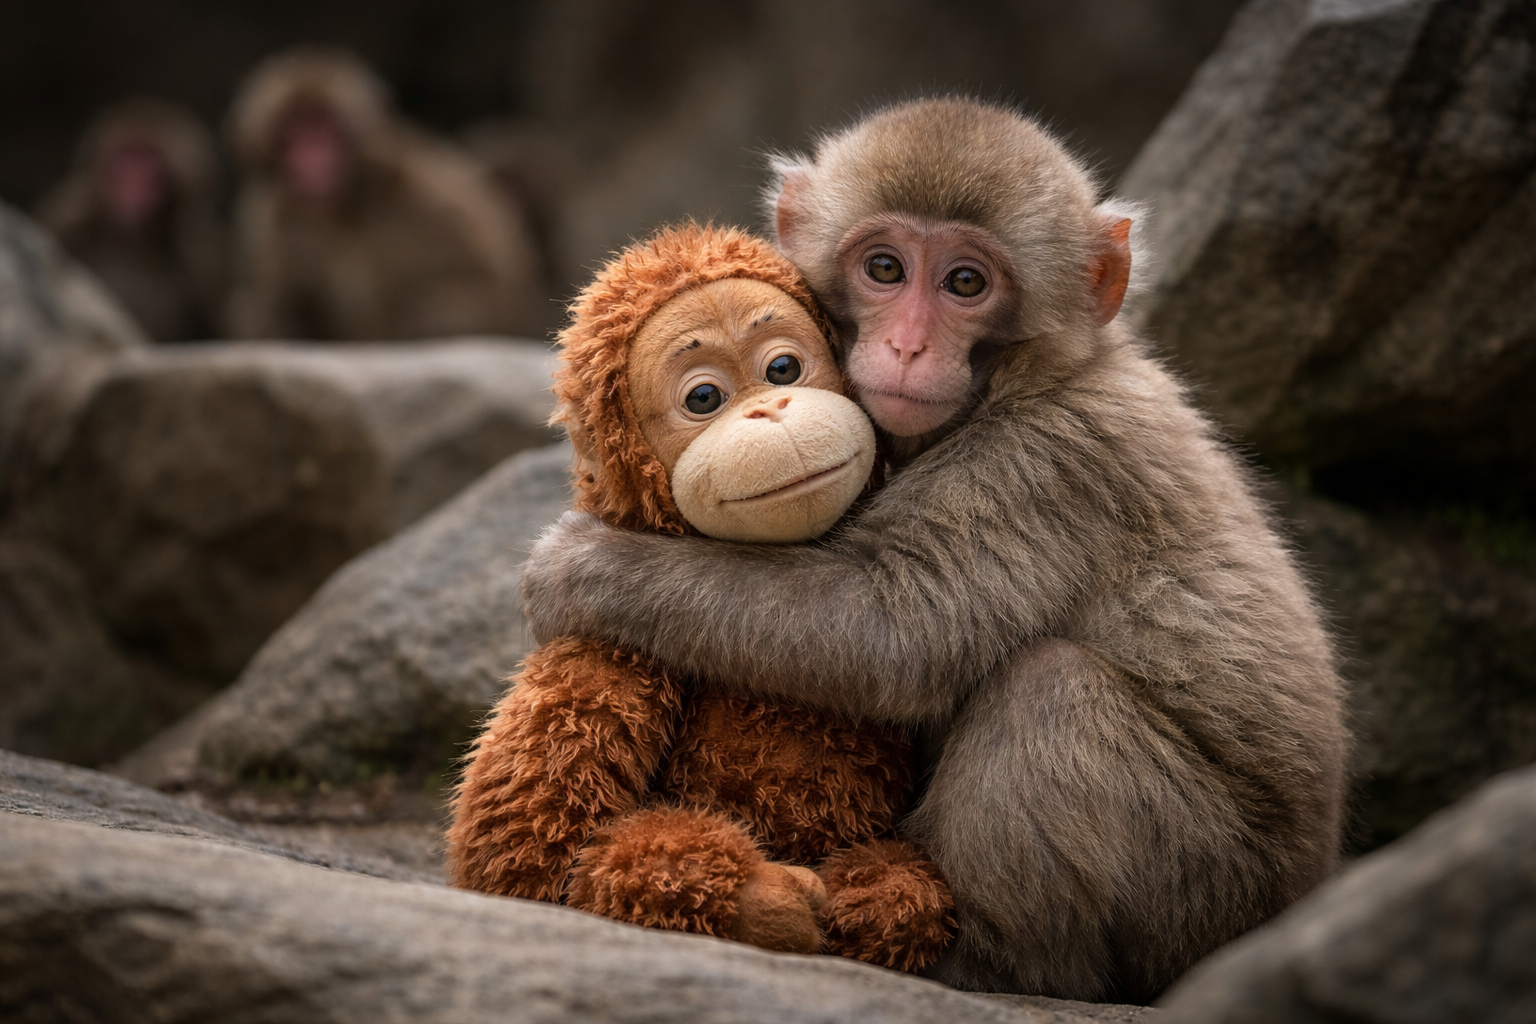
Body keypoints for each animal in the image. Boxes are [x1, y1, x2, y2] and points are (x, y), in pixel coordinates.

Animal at [37, 98, 227, 342]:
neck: (130, 242)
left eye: (151, 162)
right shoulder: (64, 221)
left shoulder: (204, 261)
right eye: (126, 158)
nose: (132, 184)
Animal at [224, 48, 543, 342]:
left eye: (328, 127)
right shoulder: (275, 219)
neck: (344, 207)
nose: (311, 151)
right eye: (293, 128)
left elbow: (474, 287)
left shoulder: (428, 200)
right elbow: (276, 308)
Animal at [516, 98, 1350, 1003]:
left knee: (1048, 693)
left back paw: (987, 963)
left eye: (965, 284)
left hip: (1206, 885)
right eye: (884, 267)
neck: (1015, 384)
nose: (910, 347)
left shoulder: (1047, 464)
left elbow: (896, 631)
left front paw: (586, 570)